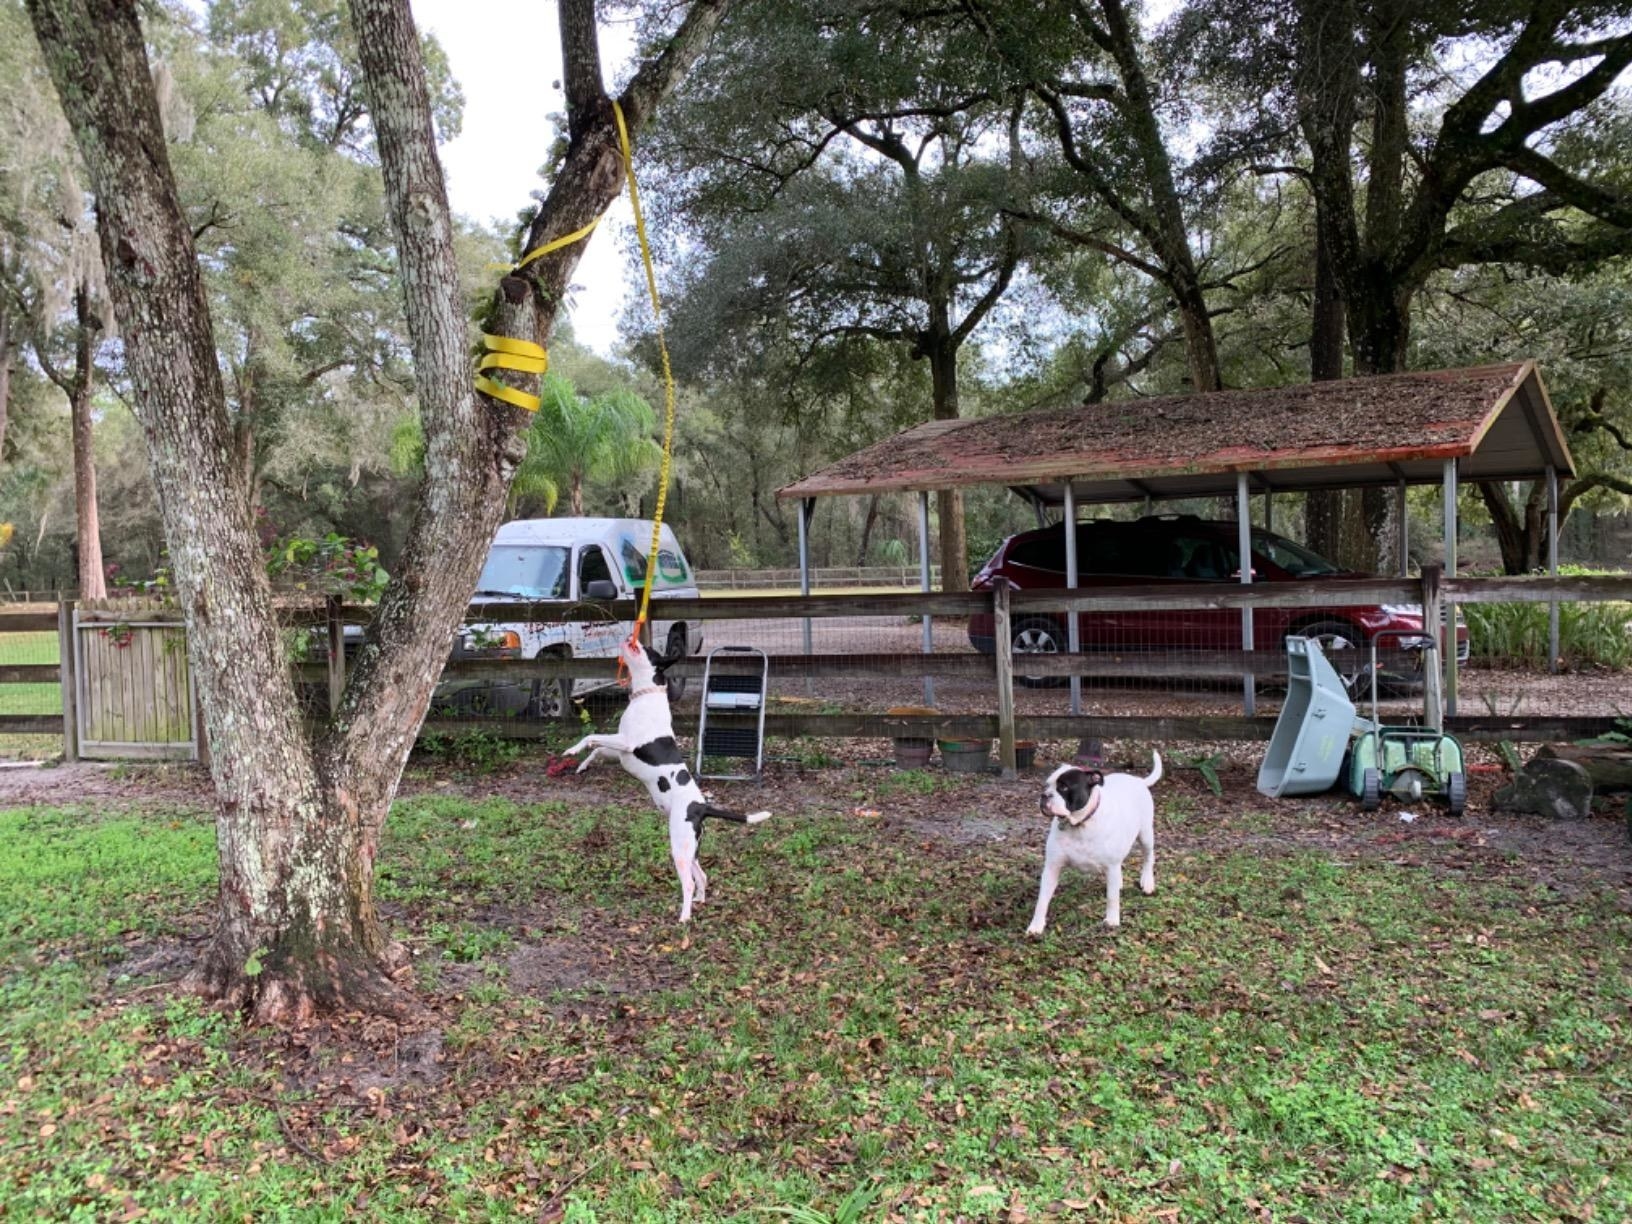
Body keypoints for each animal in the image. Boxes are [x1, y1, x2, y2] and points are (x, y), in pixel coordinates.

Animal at [567, 636, 770, 926]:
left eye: (649, 649)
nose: (632, 637)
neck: (646, 695)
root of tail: (701, 806)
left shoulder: (626, 743)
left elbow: (591, 736)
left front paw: (571, 751)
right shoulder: (621, 751)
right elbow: (596, 748)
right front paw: (581, 763)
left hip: (679, 847)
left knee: (688, 882)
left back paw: (684, 916)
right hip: (690, 848)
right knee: (702, 875)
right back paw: (699, 901)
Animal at [1024, 753, 1155, 933]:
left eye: (1063, 787)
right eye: (1047, 785)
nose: (1044, 795)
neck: (1080, 824)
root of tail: (1138, 780)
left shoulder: (1111, 866)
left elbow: (1112, 897)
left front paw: (1112, 920)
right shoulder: (1052, 867)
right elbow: (1042, 900)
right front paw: (1036, 926)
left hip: (1146, 835)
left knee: (1148, 857)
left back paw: (1147, 882)